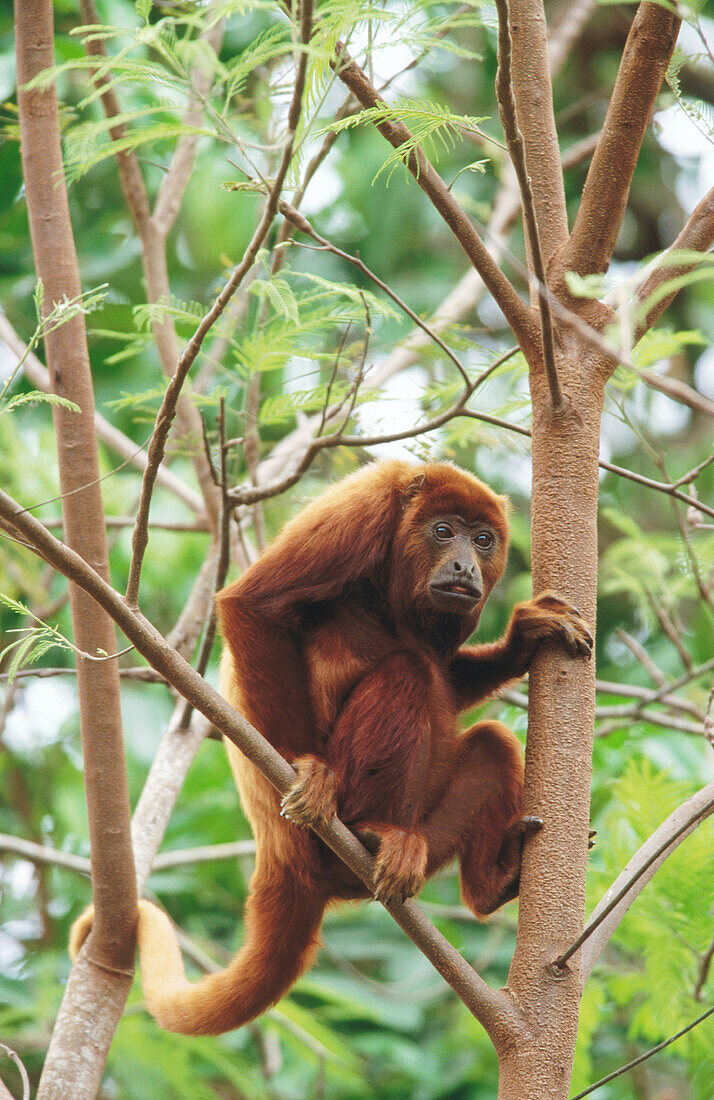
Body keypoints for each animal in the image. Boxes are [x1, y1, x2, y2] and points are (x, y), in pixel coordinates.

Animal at [69, 455, 594, 1029]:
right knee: (407, 673)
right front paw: (308, 771)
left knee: (493, 742)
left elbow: (452, 683)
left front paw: (524, 640)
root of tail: (278, 861)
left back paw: (489, 885)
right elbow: (254, 606)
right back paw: (370, 831)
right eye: (442, 531)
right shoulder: (360, 511)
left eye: (483, 540)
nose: (464, 566)